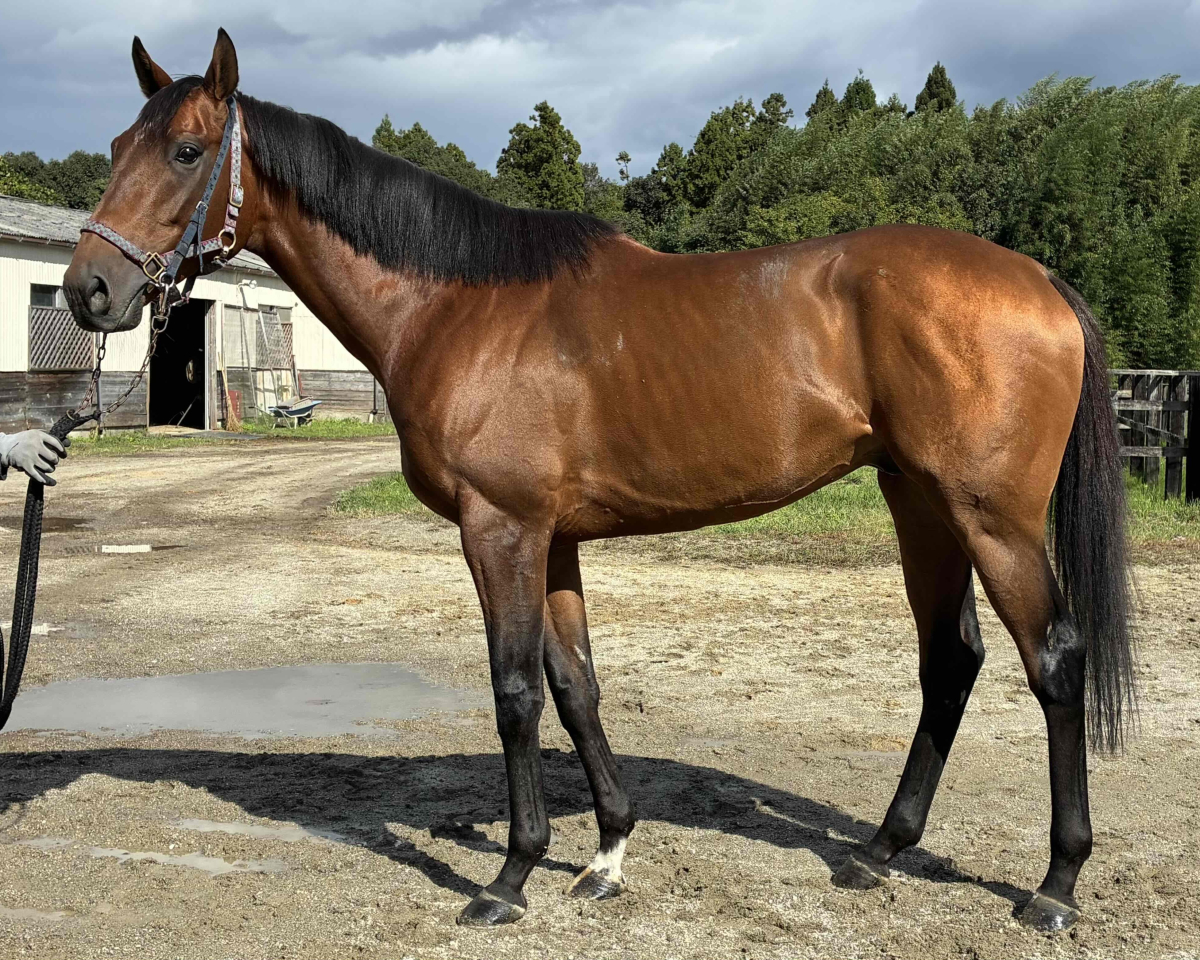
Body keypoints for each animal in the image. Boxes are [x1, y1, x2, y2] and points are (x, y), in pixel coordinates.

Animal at [63, 29, 1134, 932]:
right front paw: (607, 853)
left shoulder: (500, 529)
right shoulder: (557, 538)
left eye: (189, 151)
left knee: (1054, 660)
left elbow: (513, 692)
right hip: (920, 503)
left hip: (989, 517)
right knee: (950, 658)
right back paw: (881, 848)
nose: (88, 291)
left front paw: (508, 877)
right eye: (115, 143)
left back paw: (1055, 886)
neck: (458, 306)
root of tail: (1038, 279)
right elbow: (576, 685)